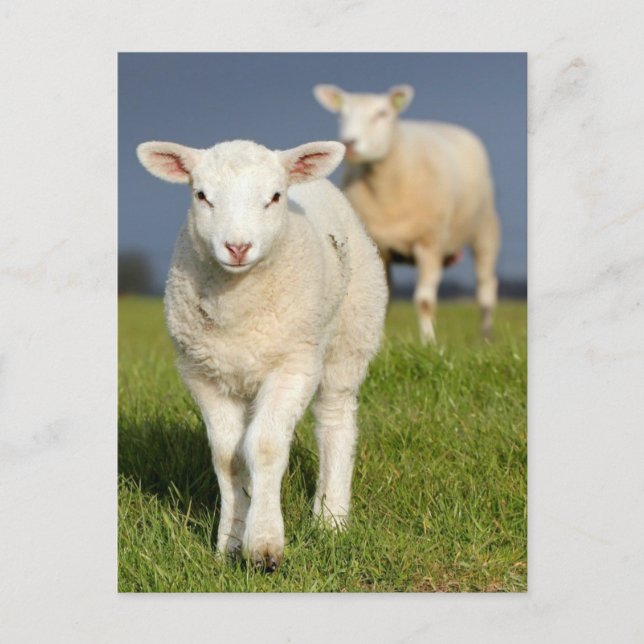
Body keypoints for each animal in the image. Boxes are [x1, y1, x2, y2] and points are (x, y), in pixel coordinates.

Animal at [136, 138, 387, 571]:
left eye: (274, 197)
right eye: (201, 195)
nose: (237, 247)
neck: (238, 307)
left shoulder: (293, 365)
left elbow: (266, 447)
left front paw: (265, 546)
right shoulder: (203, 374)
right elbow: (228, 457)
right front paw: (229, 542)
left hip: (351, 334)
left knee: (335, 421)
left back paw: (331, 518)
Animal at [313, 84, 501, 344]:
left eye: (382, 113)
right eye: (341, 114)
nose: (349, 143)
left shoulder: (429, 244)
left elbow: (424, 301)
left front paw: (429, 343)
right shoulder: (380, 249)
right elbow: (383, 298)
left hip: (485, 231)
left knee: (486, 289)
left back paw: (486, 338)